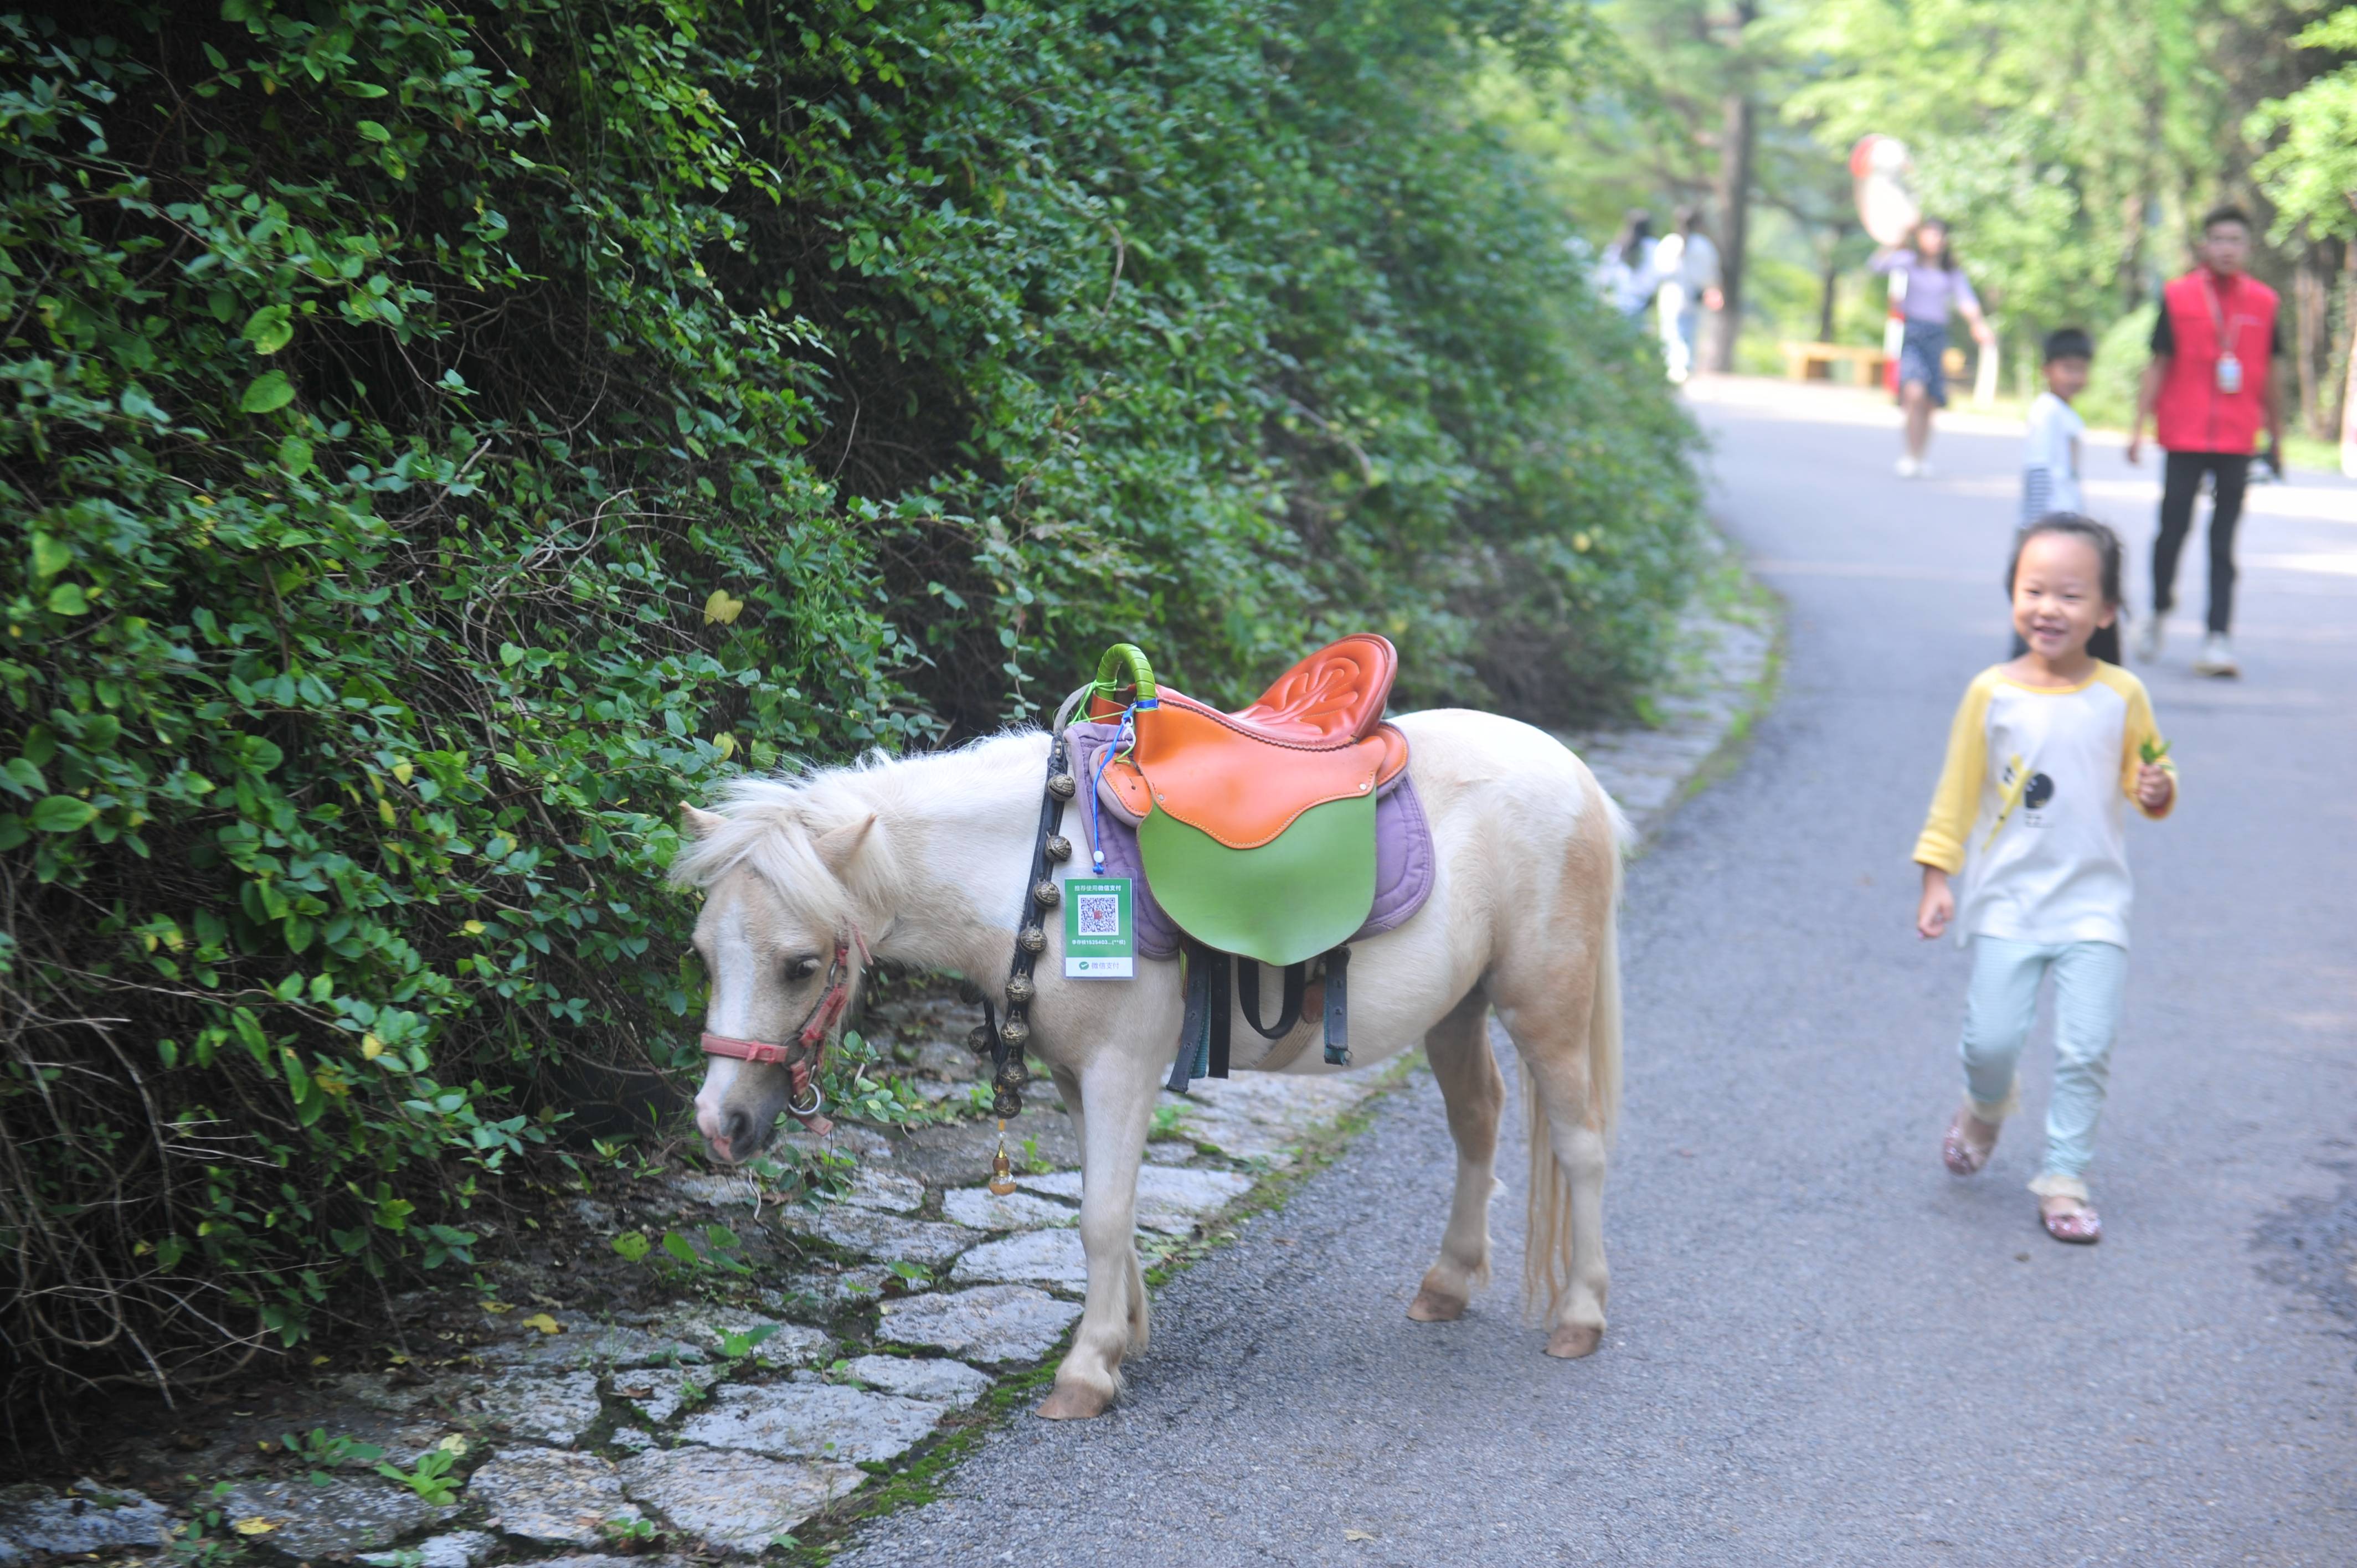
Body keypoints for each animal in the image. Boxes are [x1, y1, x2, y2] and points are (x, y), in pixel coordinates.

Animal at [674, 707, 1631, 1415]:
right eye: (704, 955)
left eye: (801, 965)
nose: (720, 1123)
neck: (1036, 871)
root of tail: (1573, 771)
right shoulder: (1075, 1078)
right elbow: (1108, 1208)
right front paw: (1125, 1333)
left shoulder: (1120, 1070)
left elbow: (1101, 1216)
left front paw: (1087, 1369)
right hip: (1458, 1011)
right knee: (1478, 1122)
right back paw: (1448, 1282)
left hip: (1543, 1003)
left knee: (1582, 1145)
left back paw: (1582, 1314)